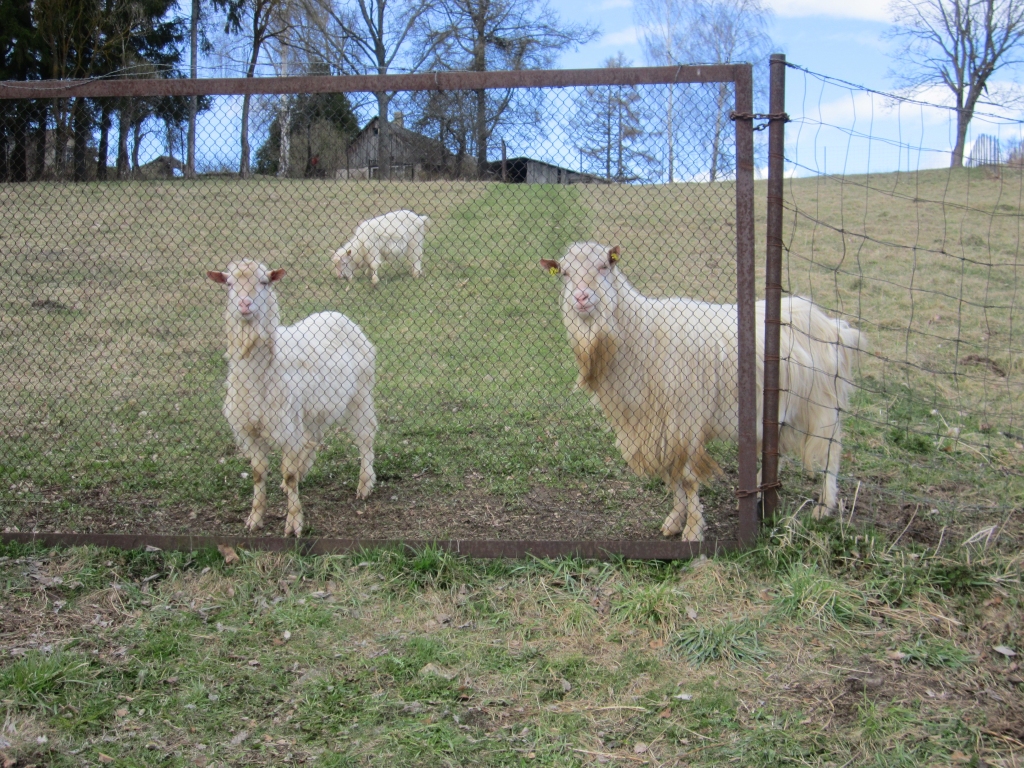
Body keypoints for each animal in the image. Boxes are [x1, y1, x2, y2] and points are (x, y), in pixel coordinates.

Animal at [205, 262, 378, 536]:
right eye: (229, 283)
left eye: (264, 282)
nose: (245, 303)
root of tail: (338, 315)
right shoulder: (249, 429)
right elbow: (258, 472)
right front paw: (254, 518)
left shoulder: (286, 427)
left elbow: (288, 473)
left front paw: (294, 523)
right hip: (313, 410)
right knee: (313, 438)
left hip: (360, 394)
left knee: (366, 436)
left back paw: (364, 484)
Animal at [544, 243, 864, 544]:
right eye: (565, 273)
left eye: (603, 266)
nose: (581, 298)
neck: (641, 335)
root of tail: (832, 324)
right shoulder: (658, 425)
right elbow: (670, 474)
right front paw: (675, 520)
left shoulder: (685, 420)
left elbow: (686, 478)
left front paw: (693, 531)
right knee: (777, 450)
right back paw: (761, 493)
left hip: (820, 403)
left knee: (831, 452)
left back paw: (824, 506)